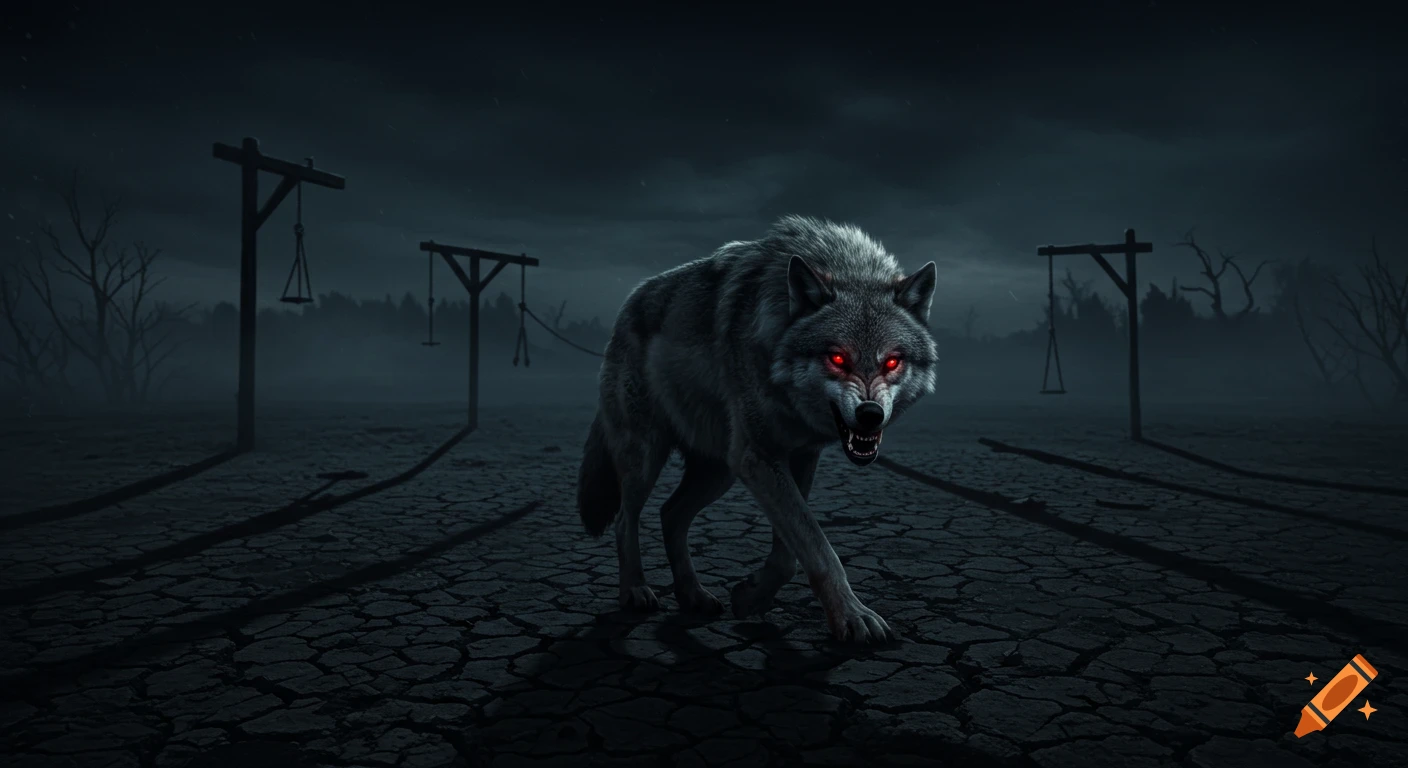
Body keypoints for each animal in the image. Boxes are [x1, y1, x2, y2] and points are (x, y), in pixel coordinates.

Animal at [576, 215, 938, 645]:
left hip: (719, 470)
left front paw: (750, 598)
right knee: (625, 519)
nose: (870, 415)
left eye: (892, 362)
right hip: (648, 457)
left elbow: (789, 553)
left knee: (670, 513)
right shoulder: (759, 457)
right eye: (837, 358)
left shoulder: (799, 455)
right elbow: (816, 547)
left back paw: (693, 594)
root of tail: (629, 302)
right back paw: (634, 589)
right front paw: (852, 617)